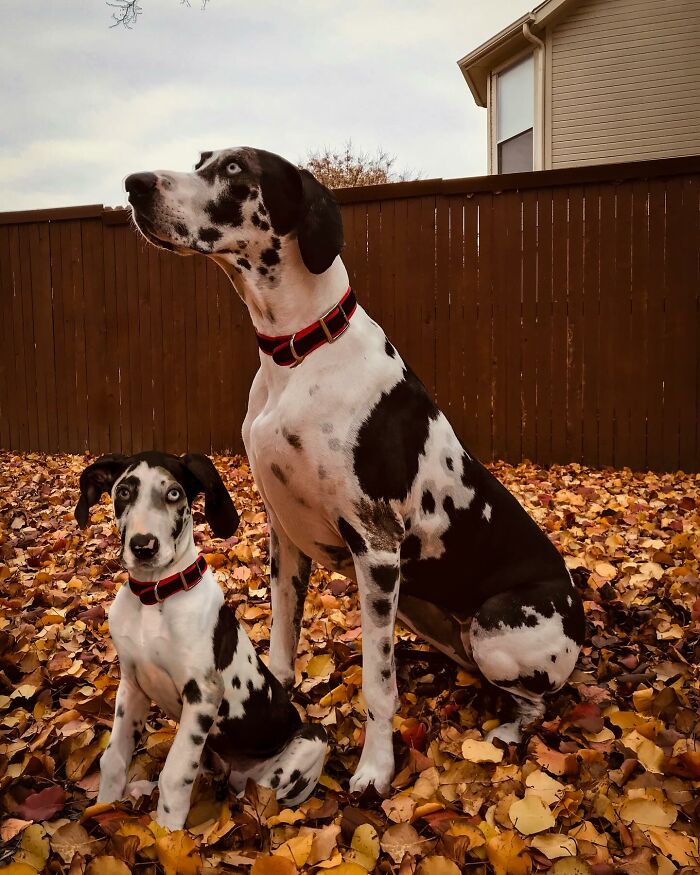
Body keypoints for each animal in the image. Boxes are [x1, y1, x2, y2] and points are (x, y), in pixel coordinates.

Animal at [75, 456, 326, 832]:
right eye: (123, 492)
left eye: (174, 493)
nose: (143, 547)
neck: (155, 596)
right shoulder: (132, 686)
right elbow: (114, 758)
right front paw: (104, 810)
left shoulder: (202, 695)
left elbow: (175, 774)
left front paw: (165, 835)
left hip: (308, 744)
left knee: (254, 797)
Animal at [124, 149, 584, 792]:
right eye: (200, 161)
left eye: (236, 167)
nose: (134, 185)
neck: (297, 353)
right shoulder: (284, 536)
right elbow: (281, 647)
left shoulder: (377, 549)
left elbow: (377, 685)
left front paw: (375, 768)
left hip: (495, 627)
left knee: (541, 700)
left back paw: (510, 731)